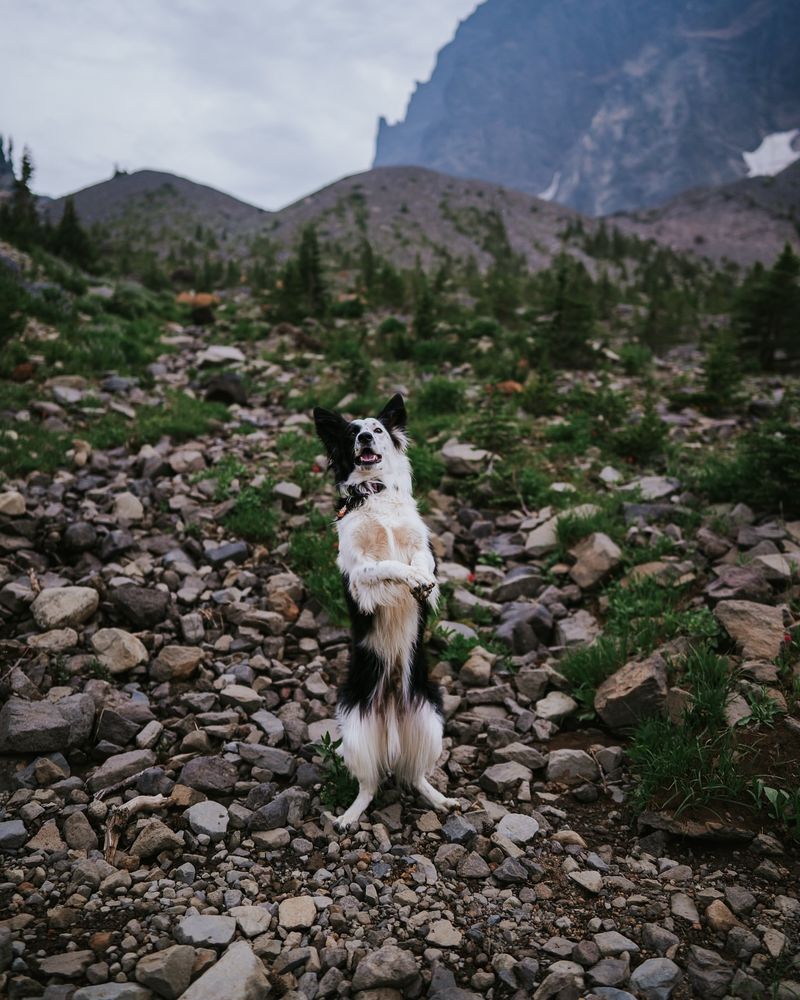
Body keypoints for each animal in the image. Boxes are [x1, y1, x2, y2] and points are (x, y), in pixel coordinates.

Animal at [314, 394, 460, 832]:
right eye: (351, 433)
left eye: (377, 429)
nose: (364, 437)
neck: (373, 493)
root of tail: (392, 715)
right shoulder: (359, 573)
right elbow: (387, 566)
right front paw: (411, 580)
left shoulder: (423, 546)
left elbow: (422, 562)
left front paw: (423, 582)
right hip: (356, 737)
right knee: (369, 785)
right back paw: (348, 817)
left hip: (431, 725)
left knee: (415, 777)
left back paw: (441, 800)